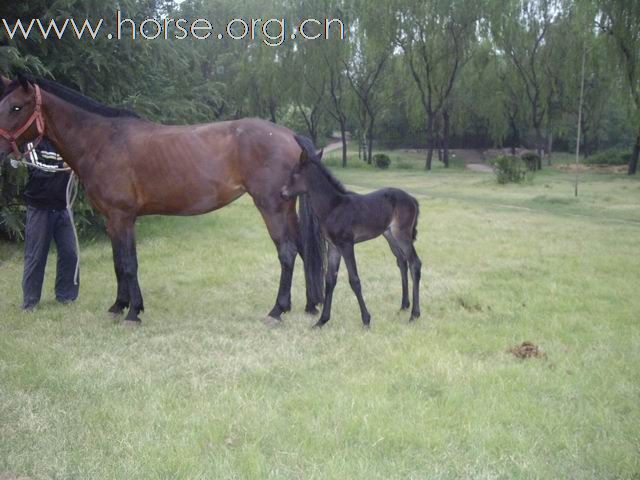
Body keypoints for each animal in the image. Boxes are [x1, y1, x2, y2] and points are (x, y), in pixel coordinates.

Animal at [0, 73, 324, 324]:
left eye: (16, 107)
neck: (103, 141)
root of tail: (290, 136)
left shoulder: (123, 216)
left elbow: (129, 263)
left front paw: (133, 313)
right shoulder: (113, 220)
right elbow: (118, 262)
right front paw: (119, 306)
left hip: (272, 207)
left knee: (287, 253)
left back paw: (277, 311)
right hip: (286, 209)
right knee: (304, 250)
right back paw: (310, 306)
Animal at [282, 137, 422, 328]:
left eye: (295, 173)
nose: (282, 193)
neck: (333, 206)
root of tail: (412, 199)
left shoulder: (347, 244)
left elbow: (354, 279)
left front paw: (366, 319)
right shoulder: (334, 246)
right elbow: (330, 280)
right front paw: (322, 321)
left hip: (402, 234)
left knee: (415, 263)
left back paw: (414, 314)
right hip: (389, 235)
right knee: (402, 261)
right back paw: (404, 306)